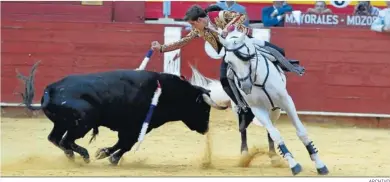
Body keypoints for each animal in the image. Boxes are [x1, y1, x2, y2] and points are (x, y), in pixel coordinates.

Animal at [16, 61, 227, 166]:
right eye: (204, 108)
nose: (206, 128)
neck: (165, 91)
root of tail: (50, 89)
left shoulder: (133, 128)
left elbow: (122, 144)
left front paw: (105, 154)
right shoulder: (135, 127)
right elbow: (125, 144)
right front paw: (109, 157)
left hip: (62, 123)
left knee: (56, 138)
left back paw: (72, 157)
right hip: (83, 121)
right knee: (66, 140)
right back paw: (84, 156)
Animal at [216, 29, 330, 176]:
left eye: (247, 57)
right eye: (229, 62)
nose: (245, 86)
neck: (256, 79)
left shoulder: (286, 101)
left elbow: (301, 132)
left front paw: (320, 164)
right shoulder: (257, 109)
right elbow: (276, 134)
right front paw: (293, 165)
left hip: (274, 110)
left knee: (270, 129)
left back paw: (273, 155)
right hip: (239, 108)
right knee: (244, 129)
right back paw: (245, 155)